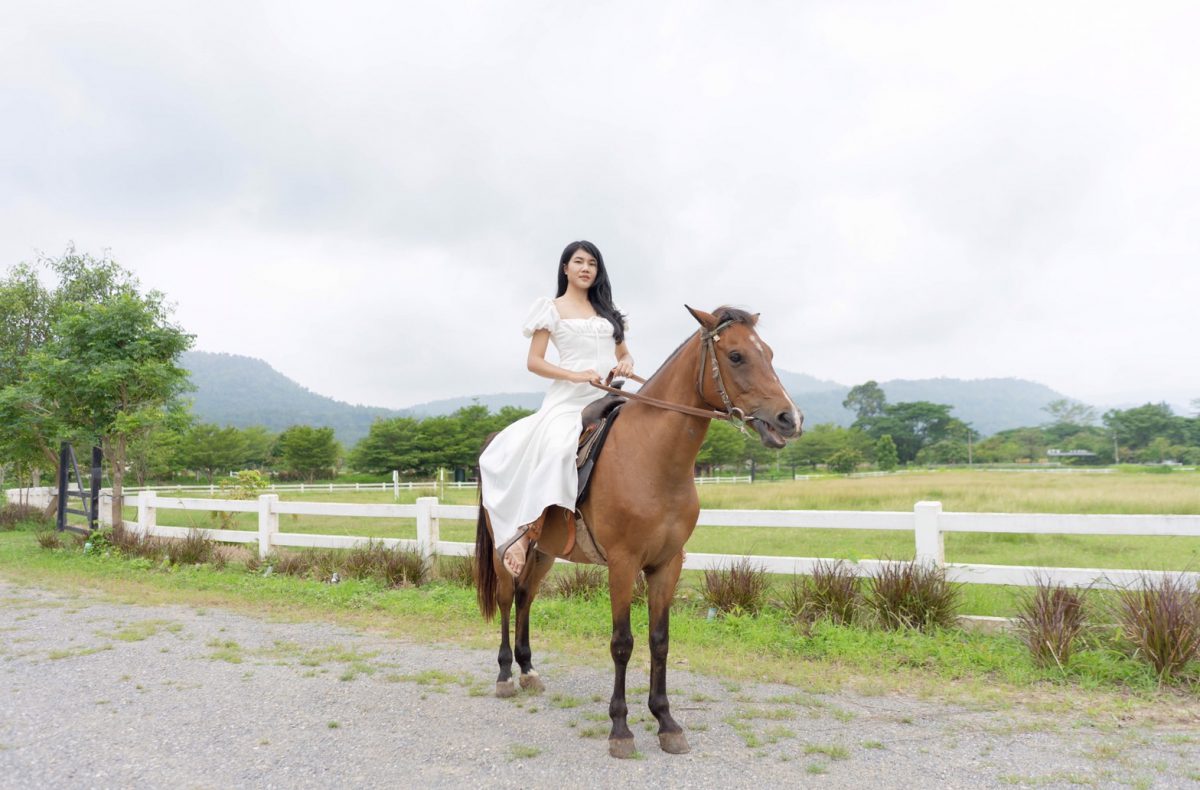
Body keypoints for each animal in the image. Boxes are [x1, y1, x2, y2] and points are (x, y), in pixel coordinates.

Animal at [472, 304, 801, 753]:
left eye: (767, 352)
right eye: (736, 356)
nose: (790, 419)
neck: (652, 457)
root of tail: (492, 441)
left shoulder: (667, 564)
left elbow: (659, 640)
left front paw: (666, 721)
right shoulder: (622, 564)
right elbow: (622, 642)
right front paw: (620, 727)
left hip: (543, 549)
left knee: (526, 596)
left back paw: (527, 670)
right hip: (505, 543)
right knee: (507, 598)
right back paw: (506, 675)